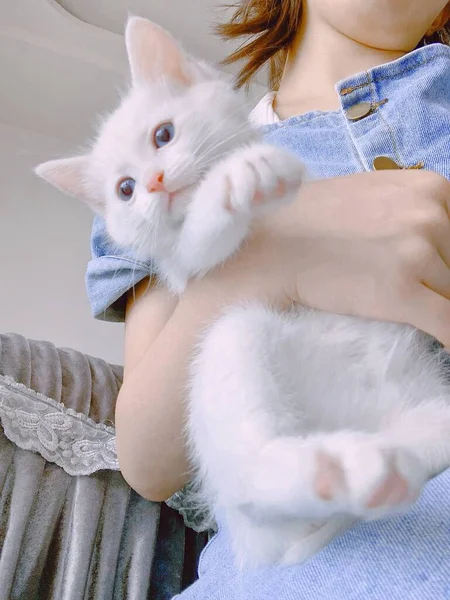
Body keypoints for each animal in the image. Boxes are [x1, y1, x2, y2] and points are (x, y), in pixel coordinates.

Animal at [36, 16, 450, 568]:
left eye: (163, 135)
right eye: (125, 190)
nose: (155, 182)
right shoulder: (188, 269)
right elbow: (201, 241)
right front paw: (237, 181)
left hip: (427, 417)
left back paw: (374, 472)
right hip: (233, 338)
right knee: (252, 481)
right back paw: (325, 472)